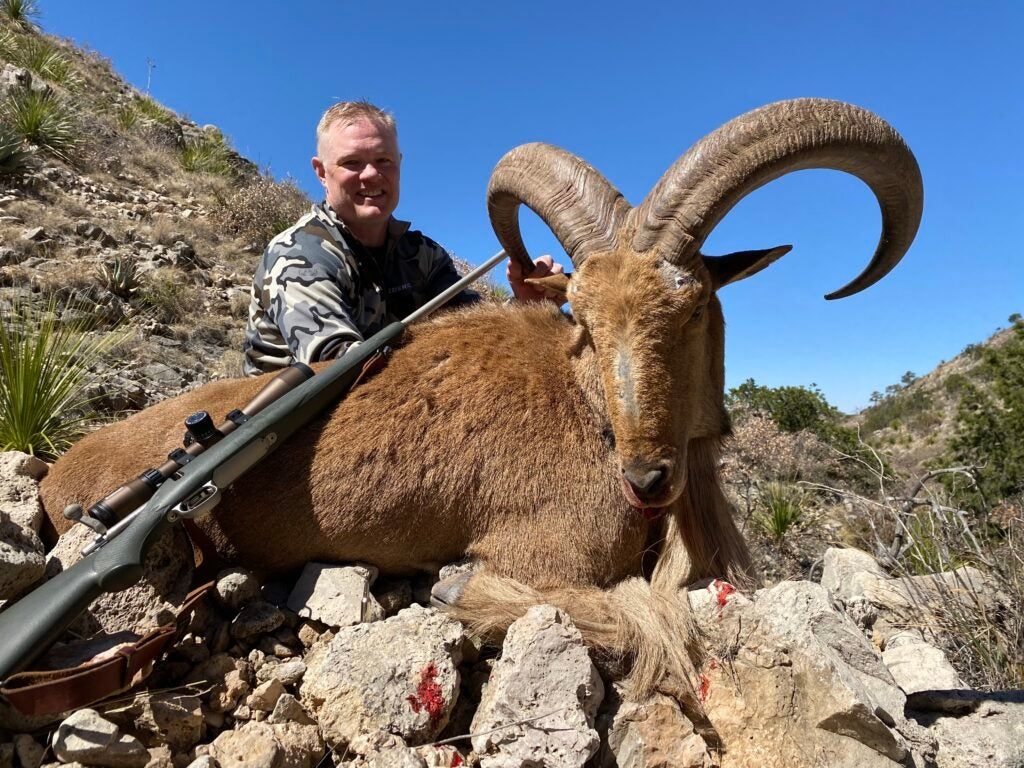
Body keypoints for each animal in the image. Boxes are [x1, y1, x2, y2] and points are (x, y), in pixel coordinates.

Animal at [41, 98, 922, 699]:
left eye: (694, 304)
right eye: (585, 318)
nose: (646, 479)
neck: (591, 411)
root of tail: (57, 476)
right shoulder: (547, 557)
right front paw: (452, 591)